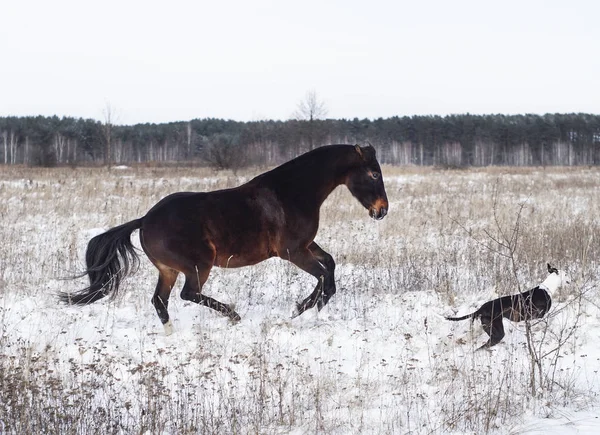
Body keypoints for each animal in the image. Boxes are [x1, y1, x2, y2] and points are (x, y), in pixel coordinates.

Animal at [61, 145, 390, 336]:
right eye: (374, 174)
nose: (382, 210)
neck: (292, 193)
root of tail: (144, 220)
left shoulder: (306, 246)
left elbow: (330, 265)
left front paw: (305, 307)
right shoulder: (292, 251)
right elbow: (323, 276)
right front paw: (302, 309)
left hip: (168, 270)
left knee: (160, 300)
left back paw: (172, 335)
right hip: (198, 265)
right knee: (188, 294)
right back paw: (233, 316)